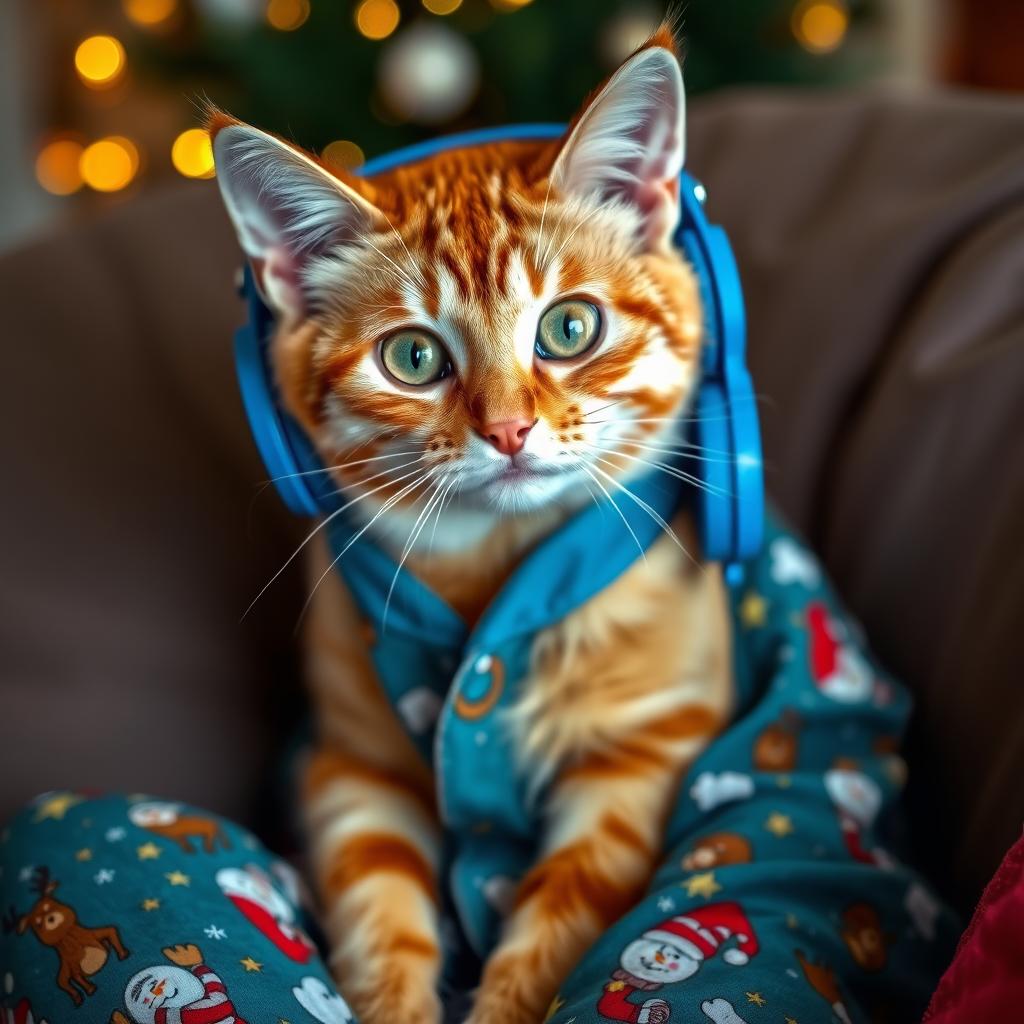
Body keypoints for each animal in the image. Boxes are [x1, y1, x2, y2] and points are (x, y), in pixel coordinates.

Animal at [211, 24, 733, 1024]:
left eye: (568, 328)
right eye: (413, 357)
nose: (508, 430)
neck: (491, 565)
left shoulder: (642, 756)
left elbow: (564, 908)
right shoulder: (354, 767)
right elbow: (380, 913)